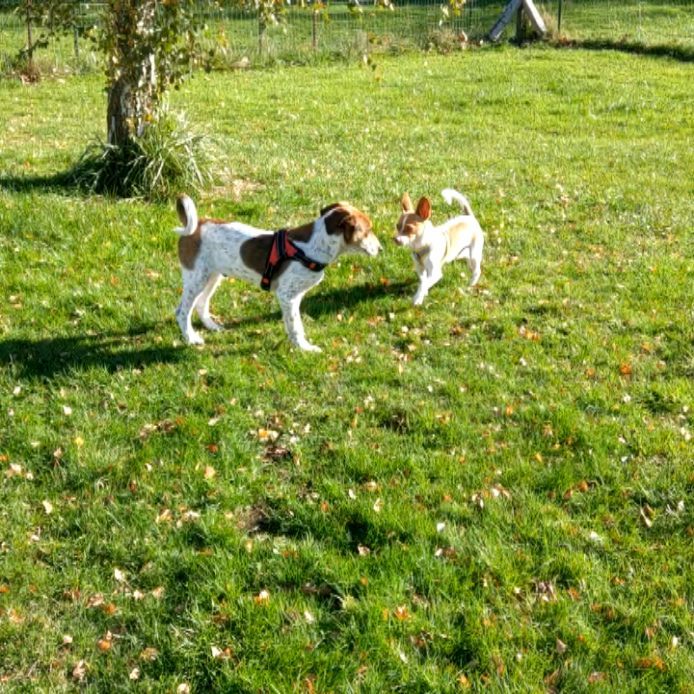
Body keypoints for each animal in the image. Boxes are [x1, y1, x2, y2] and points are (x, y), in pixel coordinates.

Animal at [173, 197, 380, 354]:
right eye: (368, 231)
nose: (381, 248)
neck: (313, 246)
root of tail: (195, 226)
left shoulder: (295, 297)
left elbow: (294, 324)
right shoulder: (287, 295)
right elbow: (295, 326)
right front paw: (304, 348)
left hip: (212, 276)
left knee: (201, 304)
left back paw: (212, 326)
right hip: (196, 278)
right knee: (182, 311)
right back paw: (191, 338)